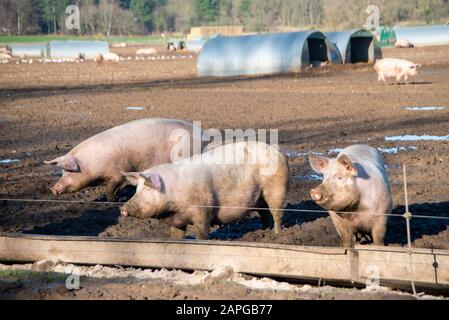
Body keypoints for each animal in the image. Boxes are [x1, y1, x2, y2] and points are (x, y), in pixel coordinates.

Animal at [44, 119, 204, 201]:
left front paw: (111, 201)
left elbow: (111, 188)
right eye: (62, 171)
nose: (52, 188)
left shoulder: (119, 171)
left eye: (69, 171)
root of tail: (202, 134)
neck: (91, 164)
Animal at [120, 141, 288, 239]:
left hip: (277, 188)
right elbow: (177, 235)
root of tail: (277, 151)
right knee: (264, 212)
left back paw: (276, 235)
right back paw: (263, 232)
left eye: (147, 189)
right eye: (137, 189)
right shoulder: (177, 220)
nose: (123, 208)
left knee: (277, 213)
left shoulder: (203, 210)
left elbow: (201, 233)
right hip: (259, 197)